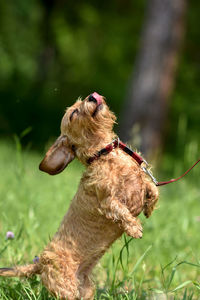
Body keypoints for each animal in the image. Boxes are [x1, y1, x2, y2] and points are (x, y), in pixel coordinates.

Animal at [0, 92, 159, 298]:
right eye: (74, 113)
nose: (93, 96)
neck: (104, 154)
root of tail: (40, 262)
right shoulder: (107, 200)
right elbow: (120, 210)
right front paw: (134, 228)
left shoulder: (140, 180)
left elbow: (152, 187)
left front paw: (150, 207)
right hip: (66, 288)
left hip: (85, 289)